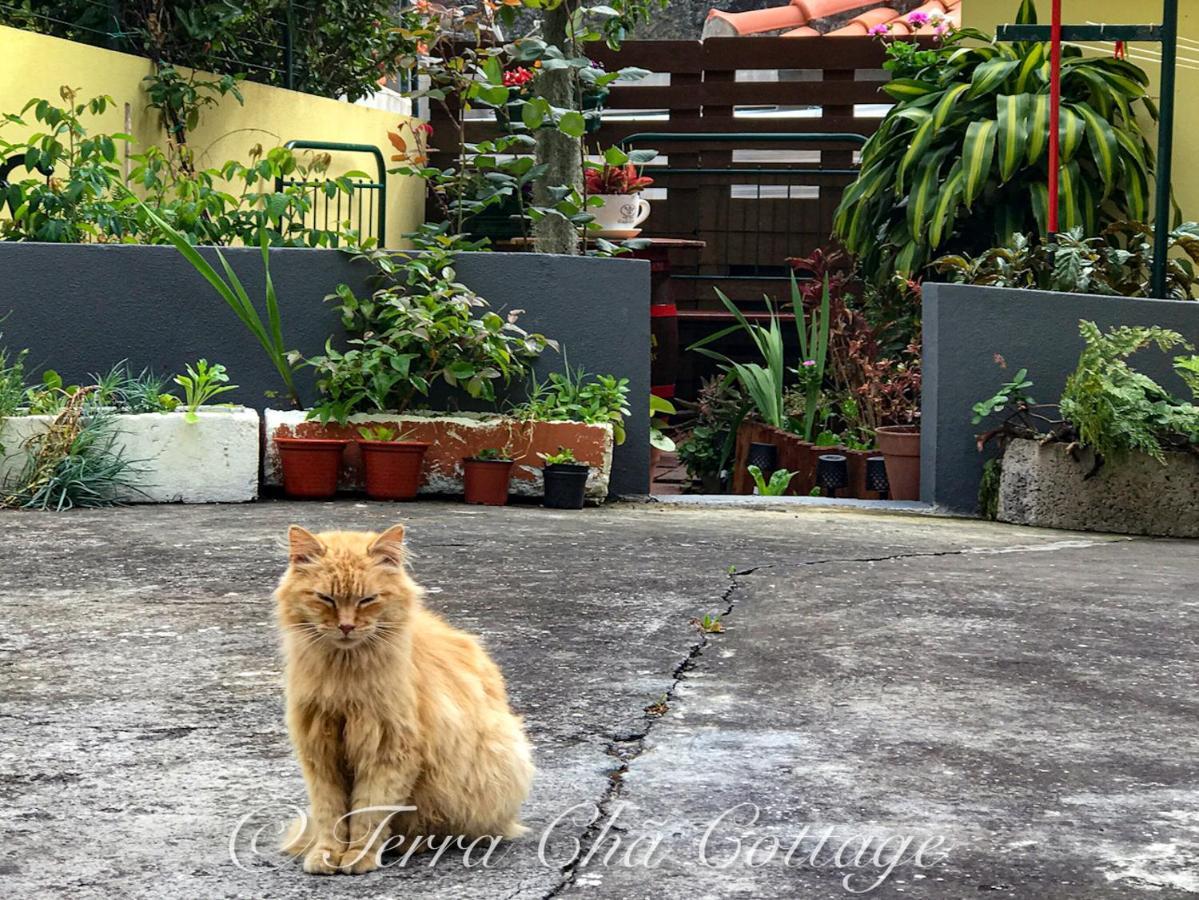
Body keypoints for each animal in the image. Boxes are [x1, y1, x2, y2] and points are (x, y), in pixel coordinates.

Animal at [274, 524, 537, 877]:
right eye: (325, 599)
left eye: (367, 600)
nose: (346, 626)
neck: (344, 678)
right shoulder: (320, 751)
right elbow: (331, 815)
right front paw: (326, 855)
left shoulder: (388, 749)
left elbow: (369, 812)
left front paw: (358, 856)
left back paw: (412, 844)